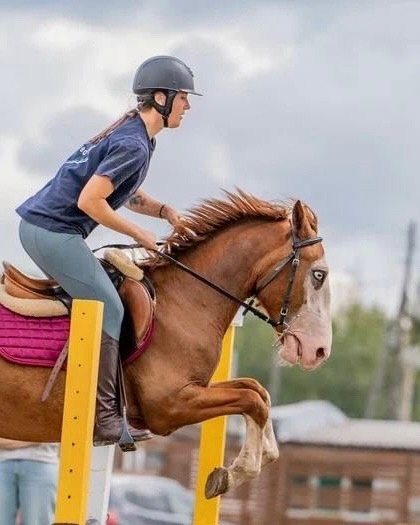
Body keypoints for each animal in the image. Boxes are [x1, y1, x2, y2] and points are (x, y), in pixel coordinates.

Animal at [0, 191, 332, 496]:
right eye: (319, 274)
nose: (319, 351)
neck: (184, 301)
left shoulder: (195, 388)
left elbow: (258, 391)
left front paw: (261, 455)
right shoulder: (171, 406)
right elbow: (252, 400)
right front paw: (236, 472)